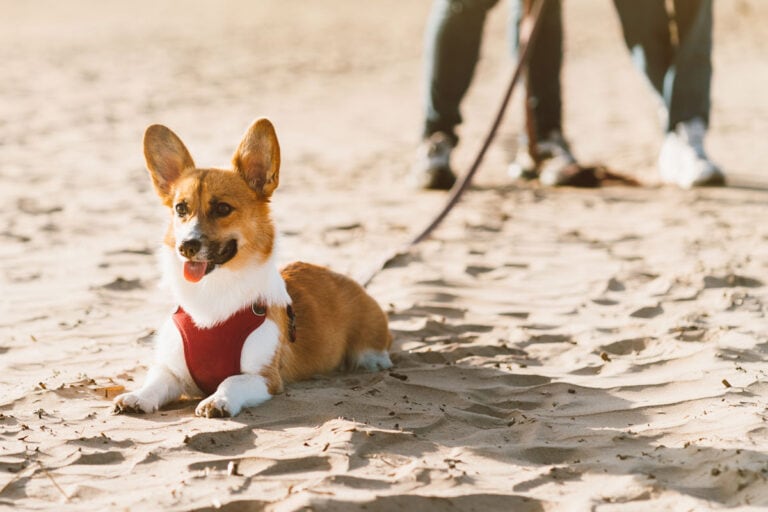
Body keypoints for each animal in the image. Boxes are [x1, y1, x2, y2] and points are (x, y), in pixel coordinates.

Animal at [117, 121, 392, 420]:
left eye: (223, 208)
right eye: (181, 208)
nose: (186, 246)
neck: (213, 293)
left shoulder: (264, 377)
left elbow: (231, 380)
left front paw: (217, 400)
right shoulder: (173, 372)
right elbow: (155, 382)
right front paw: (137, 396)